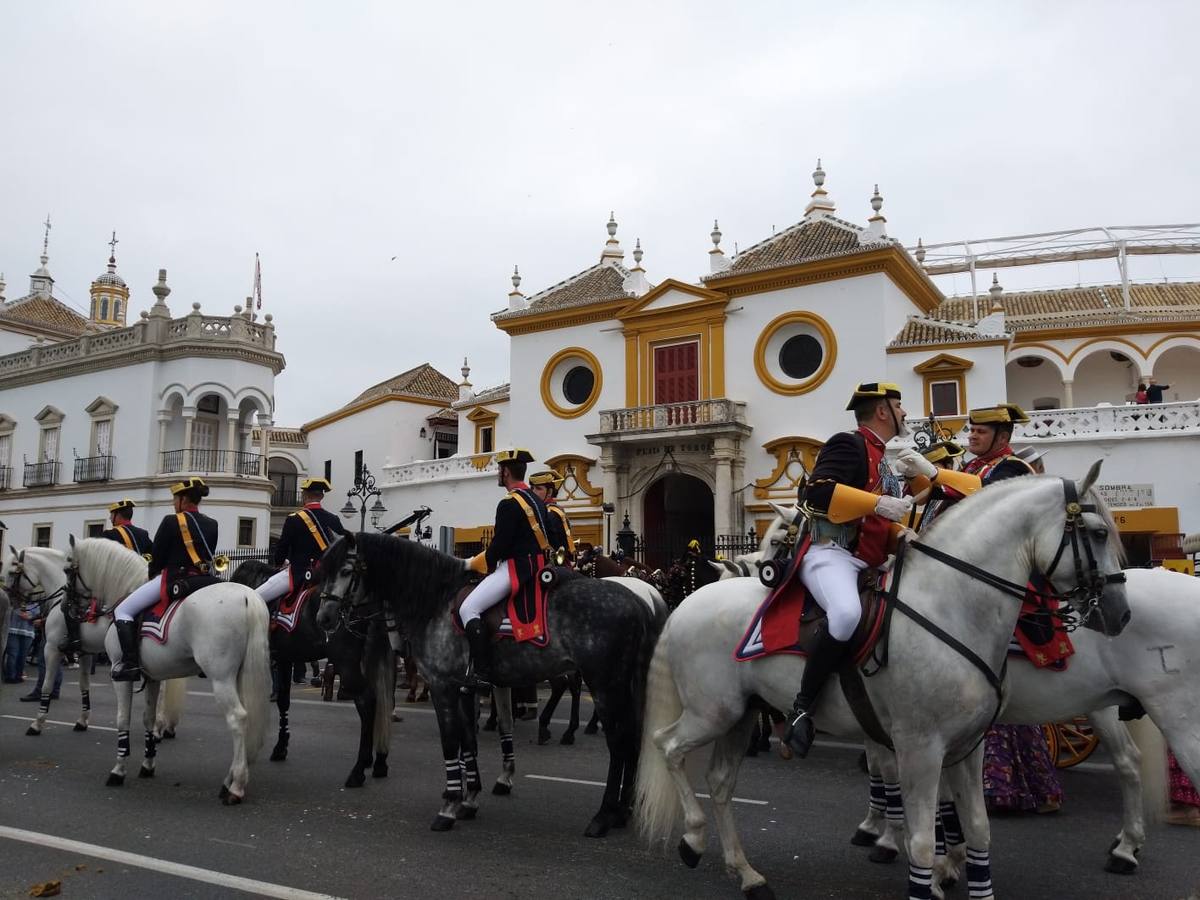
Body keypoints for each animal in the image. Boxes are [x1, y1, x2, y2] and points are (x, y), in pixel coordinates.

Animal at [5, 547, 187, 734]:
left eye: (12, 572)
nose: (11, 599)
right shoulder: (85, 651)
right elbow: (84, 685)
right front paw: (82, 720)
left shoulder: (51, 648)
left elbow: (46, 684)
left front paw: (37, 723)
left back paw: (159, 726)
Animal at [57, 540, 272, 806]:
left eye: (67, 569)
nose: (64, 606)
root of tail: (247, 595)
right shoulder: (152, 678)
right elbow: (148, 719)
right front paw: (147, 765)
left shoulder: (120, 674)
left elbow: (122, 719)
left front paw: (118, 771)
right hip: (239, 676)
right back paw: (228, 781)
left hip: (221, 678)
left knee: (238, 718)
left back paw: (236, 787)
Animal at [314, 535, 662, 840]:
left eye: (346, 571)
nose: (324, 617)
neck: (435, 598)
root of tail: (639, 601)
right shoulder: (464, 688)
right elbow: (468, 741)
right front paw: (469, 799)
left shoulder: (442, 685)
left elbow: (450, 742)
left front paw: (449, 806)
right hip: (624, 685)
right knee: (631, 737)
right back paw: (621, 811)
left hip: (605, 684)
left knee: (618, 742)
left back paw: (603, 814)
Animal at [633, 468, 1128, 897]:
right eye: (1099, 533)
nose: (1119, 613)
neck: (951, 603)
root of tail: (688, 602)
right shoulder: (919, 746)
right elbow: (922, 837)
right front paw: (923, 867)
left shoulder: (965, 748)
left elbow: (976, 828)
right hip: (713, 713)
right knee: (667, 746)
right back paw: (694, 838)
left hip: (739, 713)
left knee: (719, 781)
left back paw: (746, 872)